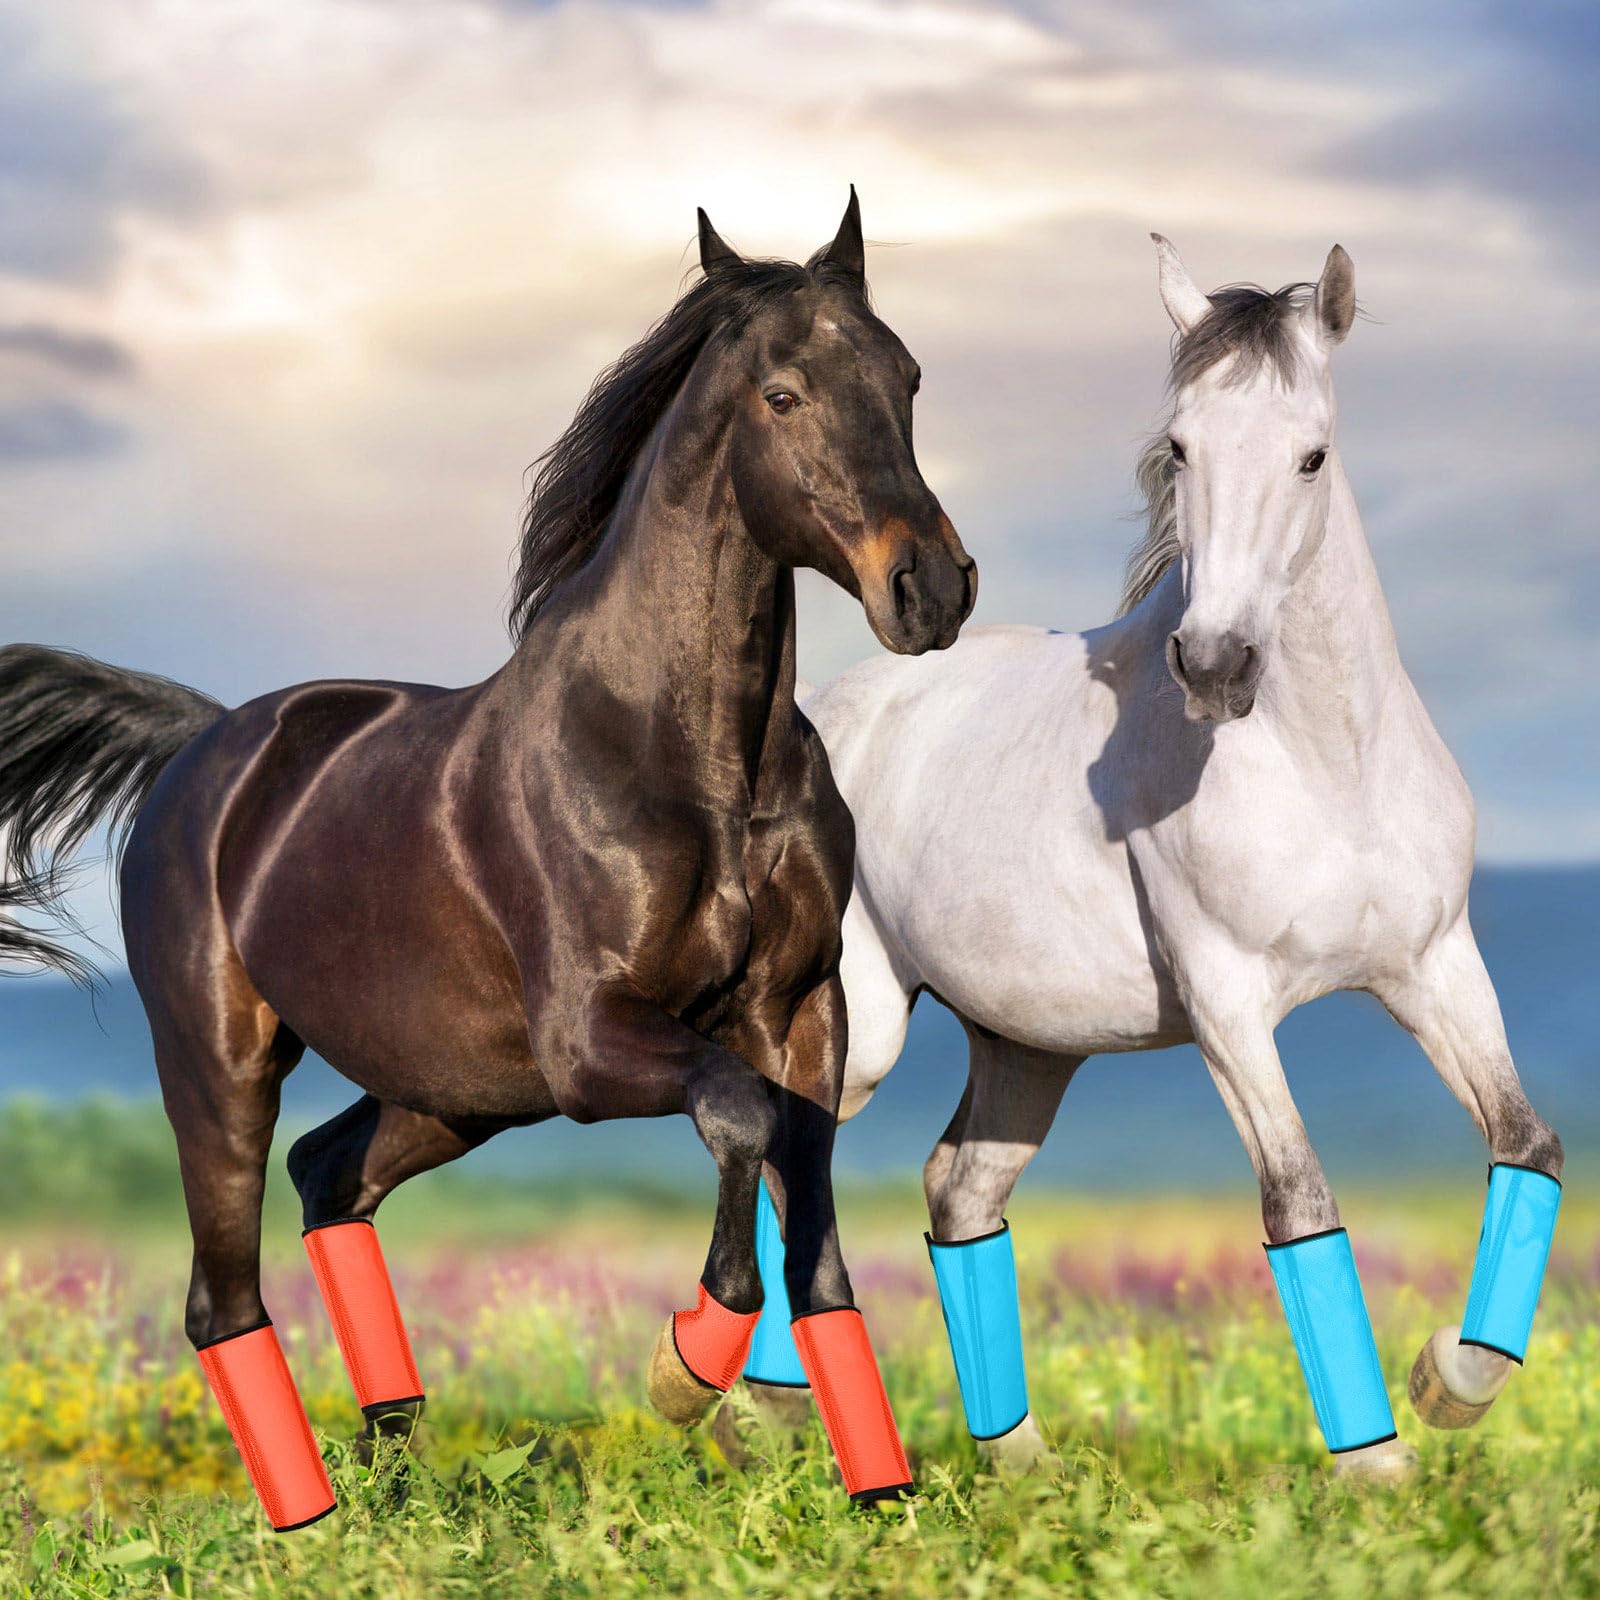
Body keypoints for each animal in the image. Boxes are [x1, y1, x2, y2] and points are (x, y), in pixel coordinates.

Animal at [0, 191, 976, 1529]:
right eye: (782, 393)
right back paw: (311, 1522)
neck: (689, 758)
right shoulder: (591, 1038)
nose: (930, 588)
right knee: (222, 1293)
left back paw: (393, 1476)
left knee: (330, 1175)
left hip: (454, 1090)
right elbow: (735, 1120)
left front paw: (880, 1497)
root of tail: (203, 744)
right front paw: (685, 1369)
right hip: (223, 1062)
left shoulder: (796, 1014)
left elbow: (813, 1226)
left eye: (908, 376)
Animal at [739, 236, 1563, 1483]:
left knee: (957, 1190)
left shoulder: (1433, 969)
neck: (1327, 767)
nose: (1215, 663)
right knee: (793, 1160)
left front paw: (1449, 1381)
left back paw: (1017, 1460)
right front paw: (1376, 1464)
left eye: (1312, 453)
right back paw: (734, 1399)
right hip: (864, 1025)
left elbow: (1530, 1145)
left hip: (1028, 1048)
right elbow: (1298, 1198)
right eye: (1180, 447)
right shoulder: (1227, 1004)